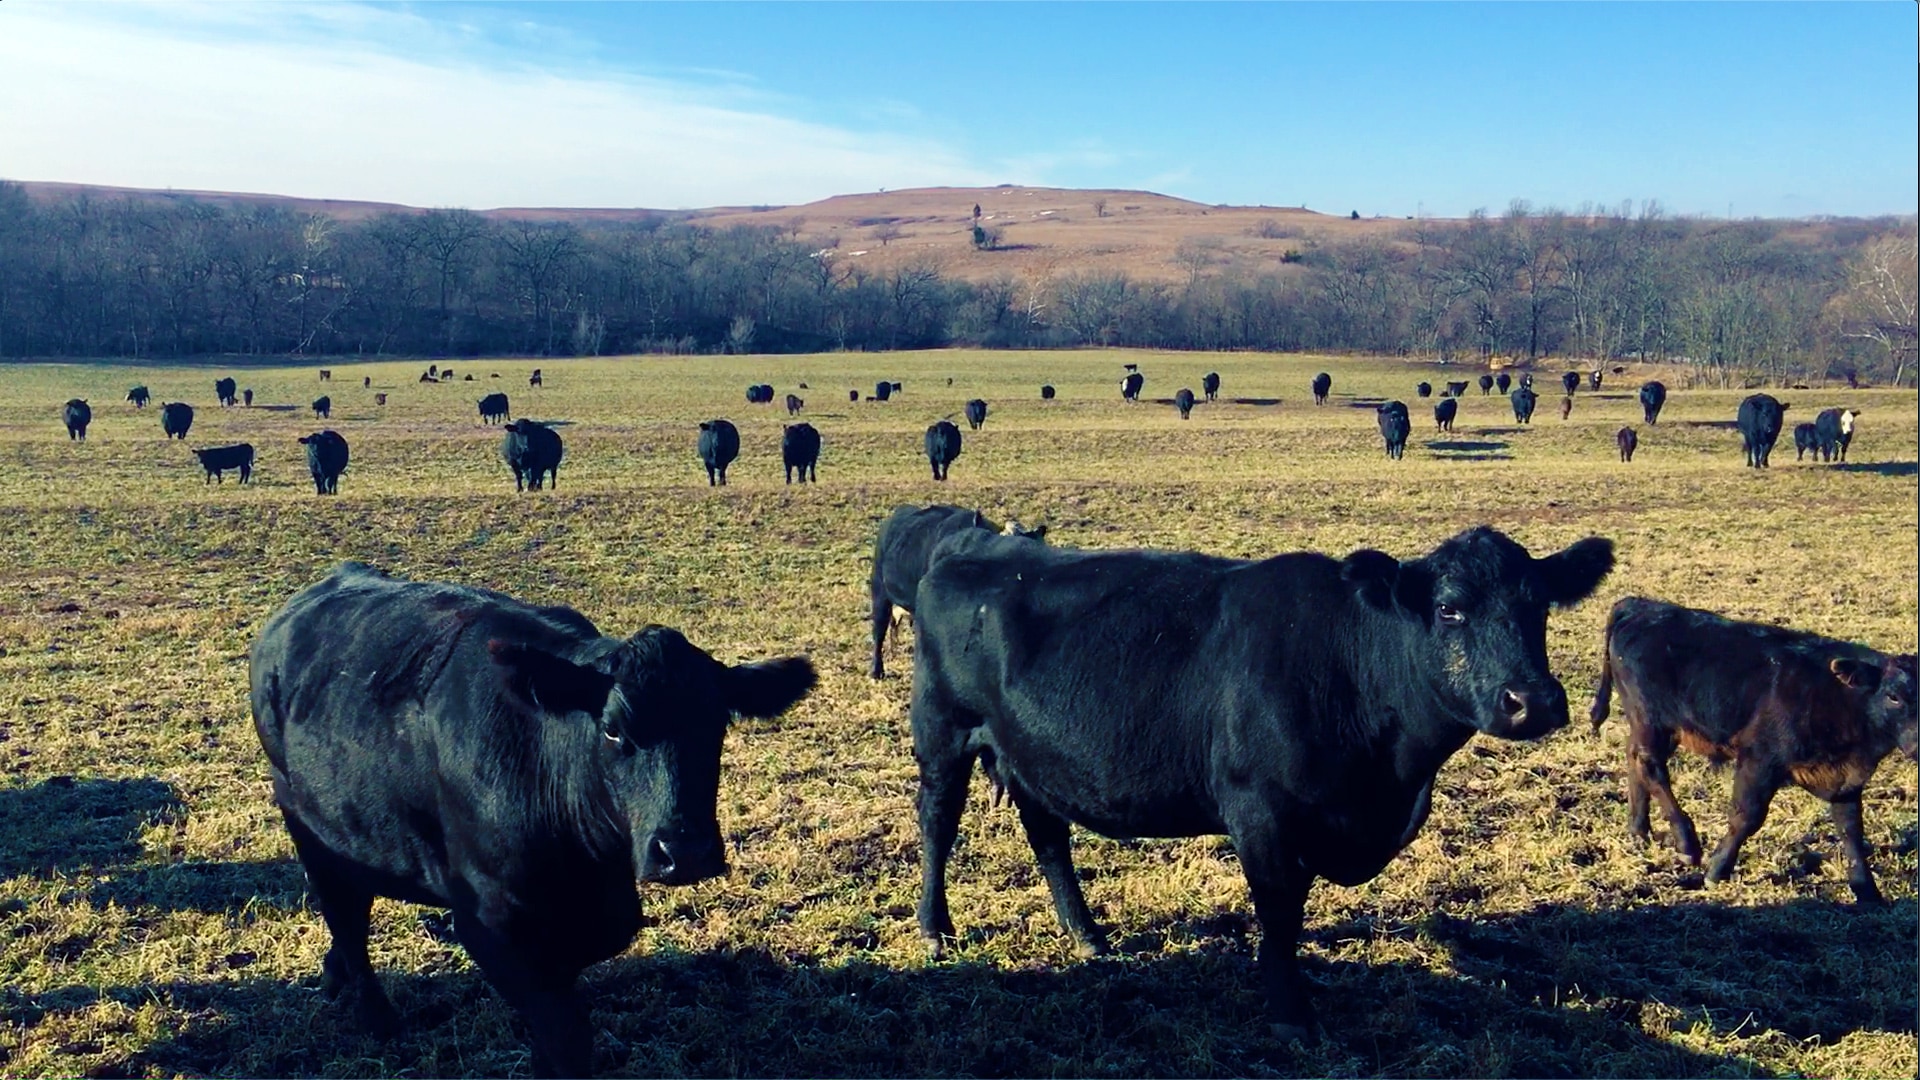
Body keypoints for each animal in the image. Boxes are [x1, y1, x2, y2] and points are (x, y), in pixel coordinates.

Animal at [243, 557, 814, 1068]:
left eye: (718, 724)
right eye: (612, 730)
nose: (686, 851)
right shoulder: (492, 926)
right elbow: (566, 1039)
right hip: (308, 826)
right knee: (346, 916)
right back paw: (376, 1018)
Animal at [906, 522, 1612, 1037]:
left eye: (1540, 605)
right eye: (1448, 609)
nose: (1534, 701)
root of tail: (974, 549)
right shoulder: (1261, 812)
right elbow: (1279, 913)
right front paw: (1291, 1014)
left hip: (1032, 754)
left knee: (1048, 835)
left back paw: (1089, 937)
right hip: (942, 731)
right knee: (938, 821)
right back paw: (936, 928)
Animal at [1589, 595, 1920, 899]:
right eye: (1893, 696)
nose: (1917, 746)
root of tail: (1640, 604)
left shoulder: (1844, 778)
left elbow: (1851, 830)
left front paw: (1867, 891)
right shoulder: (1759, 759)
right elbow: (1747, 816)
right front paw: (1717, 870)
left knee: (1635, 760)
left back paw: (1638, 831)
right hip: (1653, 721)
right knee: (1650, 767)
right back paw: (1686, 843)